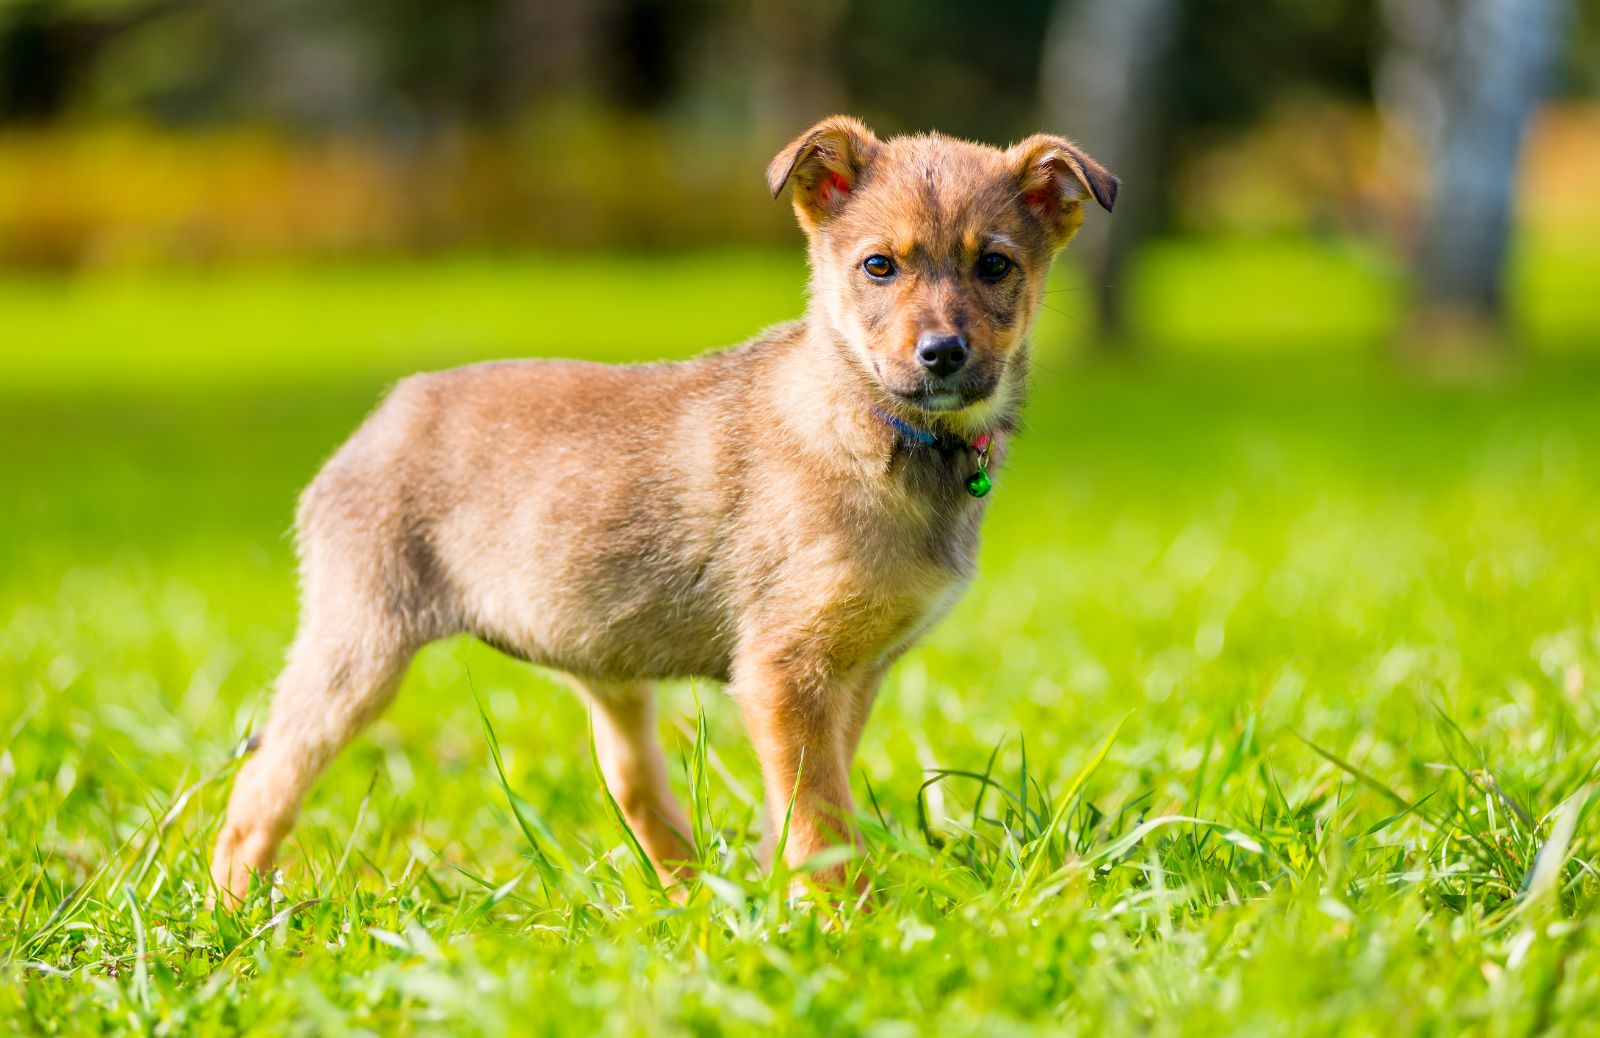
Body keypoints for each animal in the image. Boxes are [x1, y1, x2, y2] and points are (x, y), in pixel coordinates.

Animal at [209, 115, 1113, 895]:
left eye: (995, 266)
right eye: (878, 266)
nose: (942, 354)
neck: (885, 432)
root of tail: (383, 415)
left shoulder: (852, 675)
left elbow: (805, 809)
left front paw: (783, 902)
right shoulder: (786, 668)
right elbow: (821, 822)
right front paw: (851, 925)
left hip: (602, 669)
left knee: (636, 791)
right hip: (358, 648)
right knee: (261, 786)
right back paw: (234, 908)